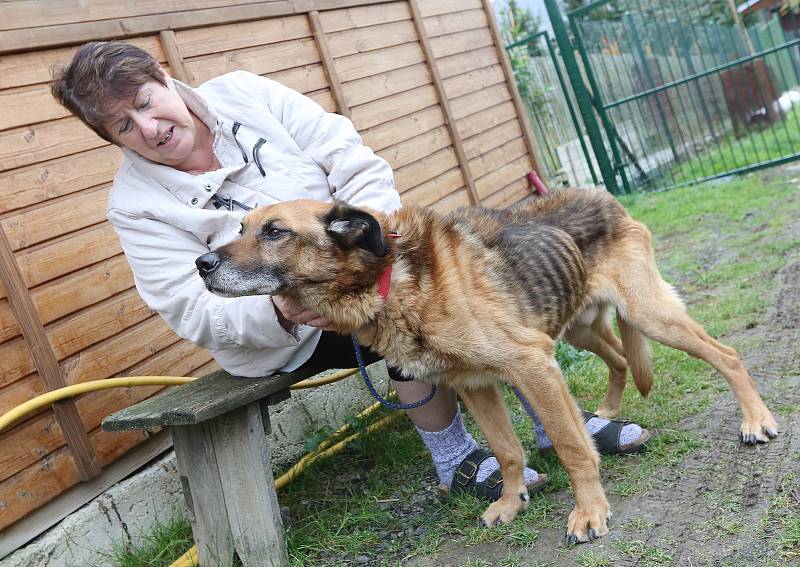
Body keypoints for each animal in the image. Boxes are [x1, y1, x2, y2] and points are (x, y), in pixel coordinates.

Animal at [197, 187, 780, 544]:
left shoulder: (529, 364)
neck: (391, 279)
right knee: (618, 360)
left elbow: (569, 447)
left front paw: (589, 511)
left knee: (725, 354)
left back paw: (756, 419)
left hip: (647, 316)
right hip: (578, 329)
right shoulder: (476, 384)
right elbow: (507, 450)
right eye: (239, 225)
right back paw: (609, 414)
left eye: (275, 231)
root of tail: (601, 195)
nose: (202, 263)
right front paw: (510, 500)